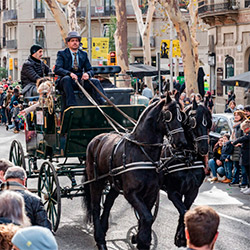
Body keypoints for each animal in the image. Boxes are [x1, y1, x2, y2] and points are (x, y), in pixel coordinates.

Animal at [83, 94, 187, 250]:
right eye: (168, 115)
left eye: (182, 116)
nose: (181, 142)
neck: (142, 152)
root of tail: (96, 139)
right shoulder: (131, 193)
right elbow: (147, 217)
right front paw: (142, 240)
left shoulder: (151, 193)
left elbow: (146, 217)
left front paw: (139, 238)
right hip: (96, 181)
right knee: (95, 207)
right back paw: (100, 239)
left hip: (114, 183)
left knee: (108, 203)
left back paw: (104, 228)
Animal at [161, 98, 212, 247]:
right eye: (193, 121)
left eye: (209, 121)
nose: (204, 148)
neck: (186, 157)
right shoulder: (172, 191)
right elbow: (183, 211)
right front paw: (181, 238)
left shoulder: (192, 191)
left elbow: (185, 211)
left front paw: (181, 237)